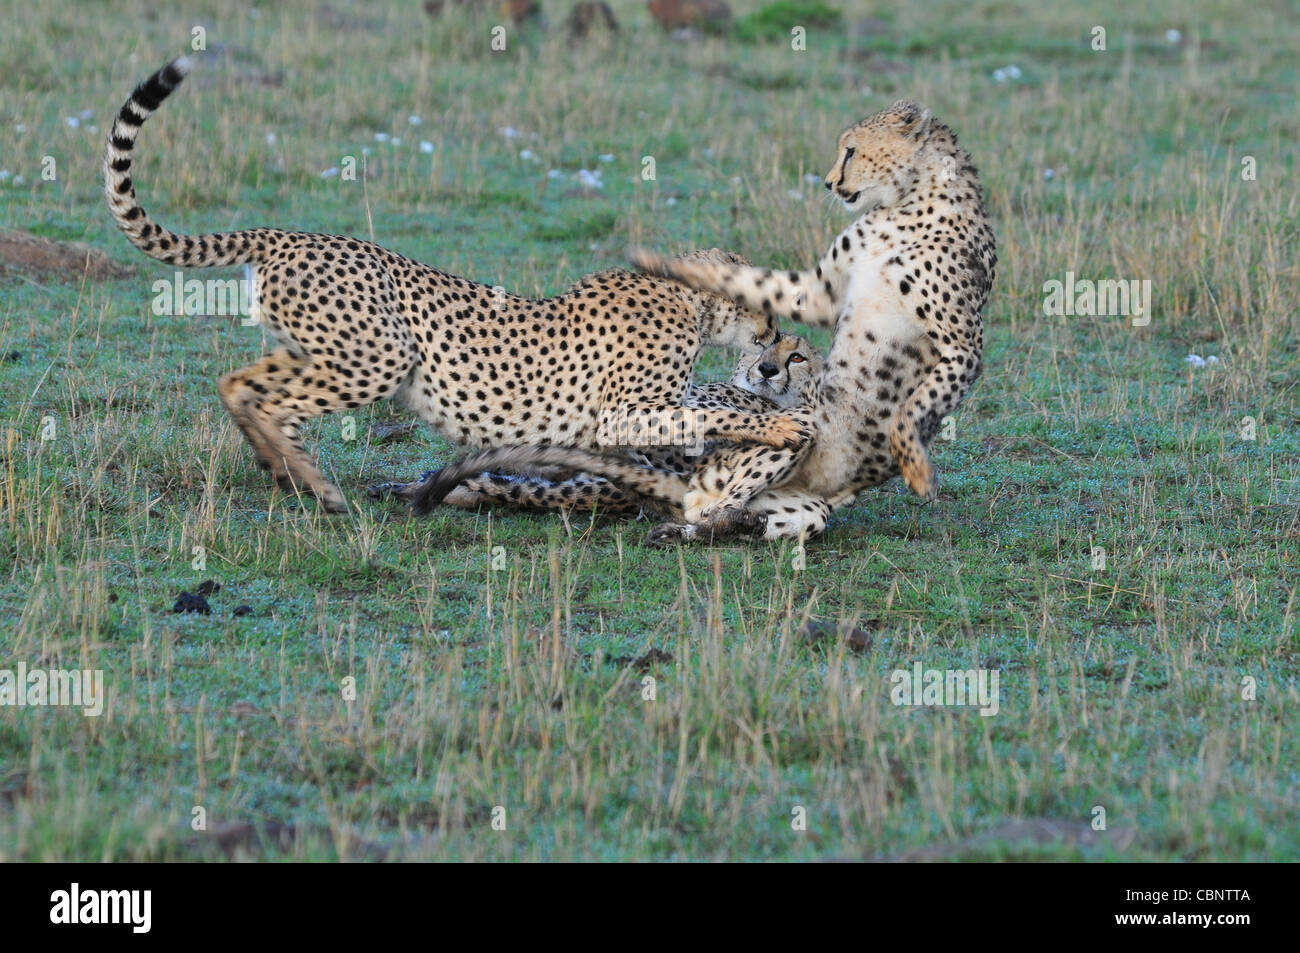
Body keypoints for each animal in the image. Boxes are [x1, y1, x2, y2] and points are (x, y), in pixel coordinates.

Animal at [106, 59, 806, 512]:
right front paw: (780, 429)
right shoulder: (626, 415)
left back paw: (287, 473)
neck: (687, 299)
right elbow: (710, 412)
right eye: (769, 308)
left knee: (239, 385)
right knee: (274, 403)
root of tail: (287, 234)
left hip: (315, 349)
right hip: (380, 355)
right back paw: (315, 485)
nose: (776, 347)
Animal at [624, 101, 998, 543]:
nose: (830, 183)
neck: (908, 202)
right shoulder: (821, 293)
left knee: (711, 507)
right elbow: (750, 281)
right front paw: (664, 264)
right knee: (705, 503)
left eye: (851, 150)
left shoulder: (963, 346)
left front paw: (919, 471)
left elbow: (913, 408)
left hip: (806, 488)